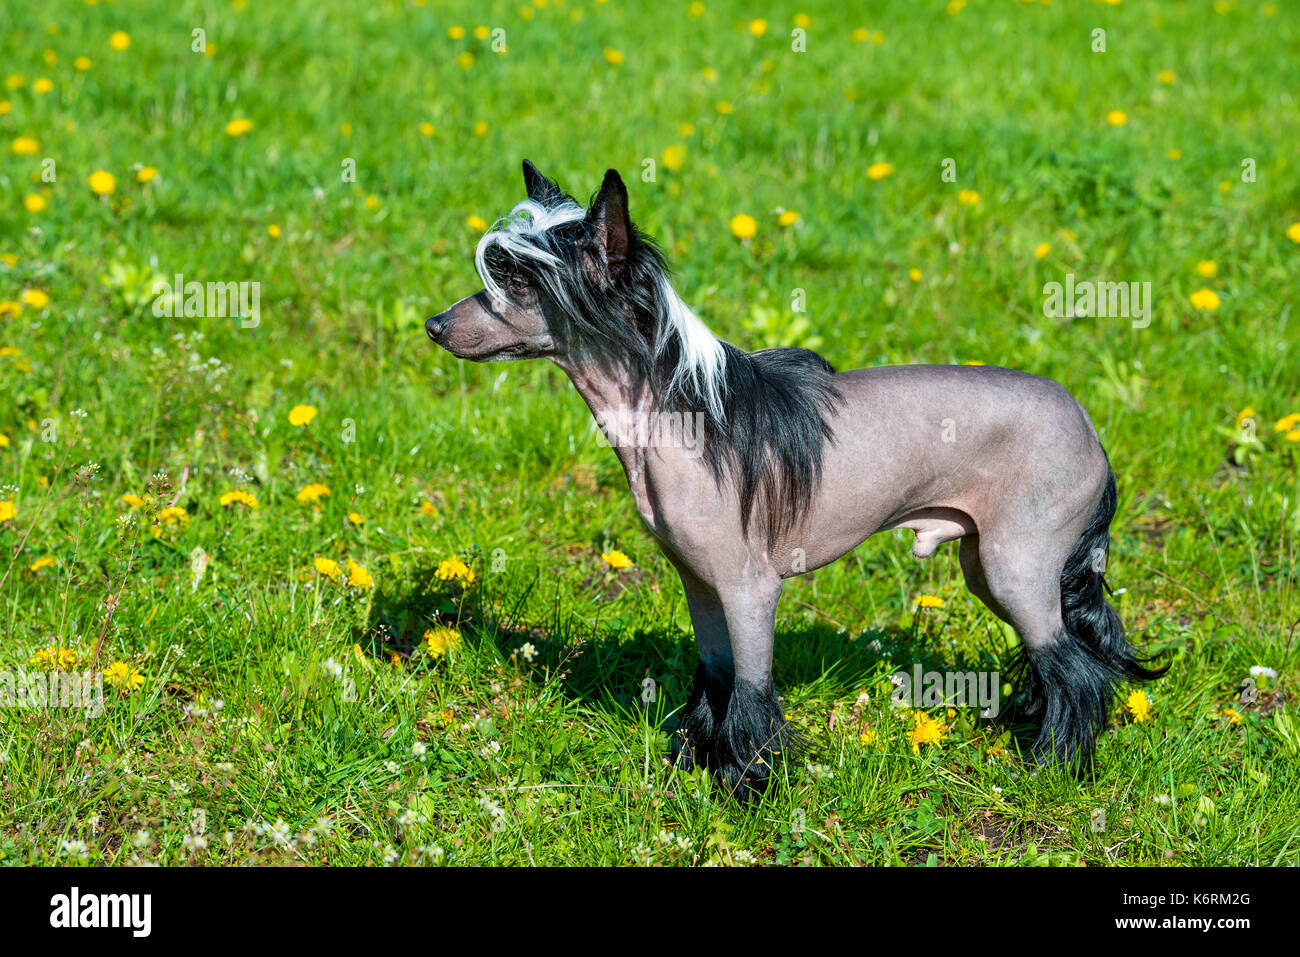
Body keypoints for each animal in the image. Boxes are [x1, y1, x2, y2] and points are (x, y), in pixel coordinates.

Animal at [428, 160, 1170, 795]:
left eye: (517, 279)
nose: (434, 325)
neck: (672, 408)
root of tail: (1090, 430)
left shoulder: (750, 588)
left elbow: (752, 691)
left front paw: (748, 784)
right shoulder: (701, 586)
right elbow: (716, 678)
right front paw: (696, 761)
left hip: (1016, 563)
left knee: (1075, 669)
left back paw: (1056, 763)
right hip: (986, 565)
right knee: (1060, 655)